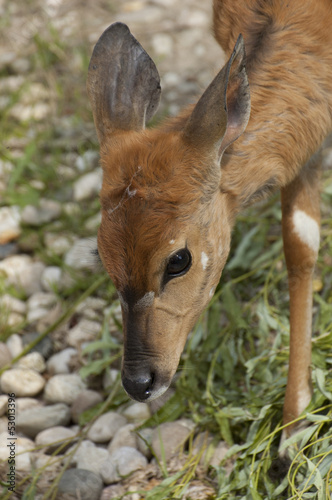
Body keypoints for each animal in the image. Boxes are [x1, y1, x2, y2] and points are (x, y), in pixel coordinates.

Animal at [86, 0, 332, 444]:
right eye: (101, 255)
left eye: (178, 259)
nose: (139, 381)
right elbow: (300, 240)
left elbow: (300, 245)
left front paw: (292, 429)